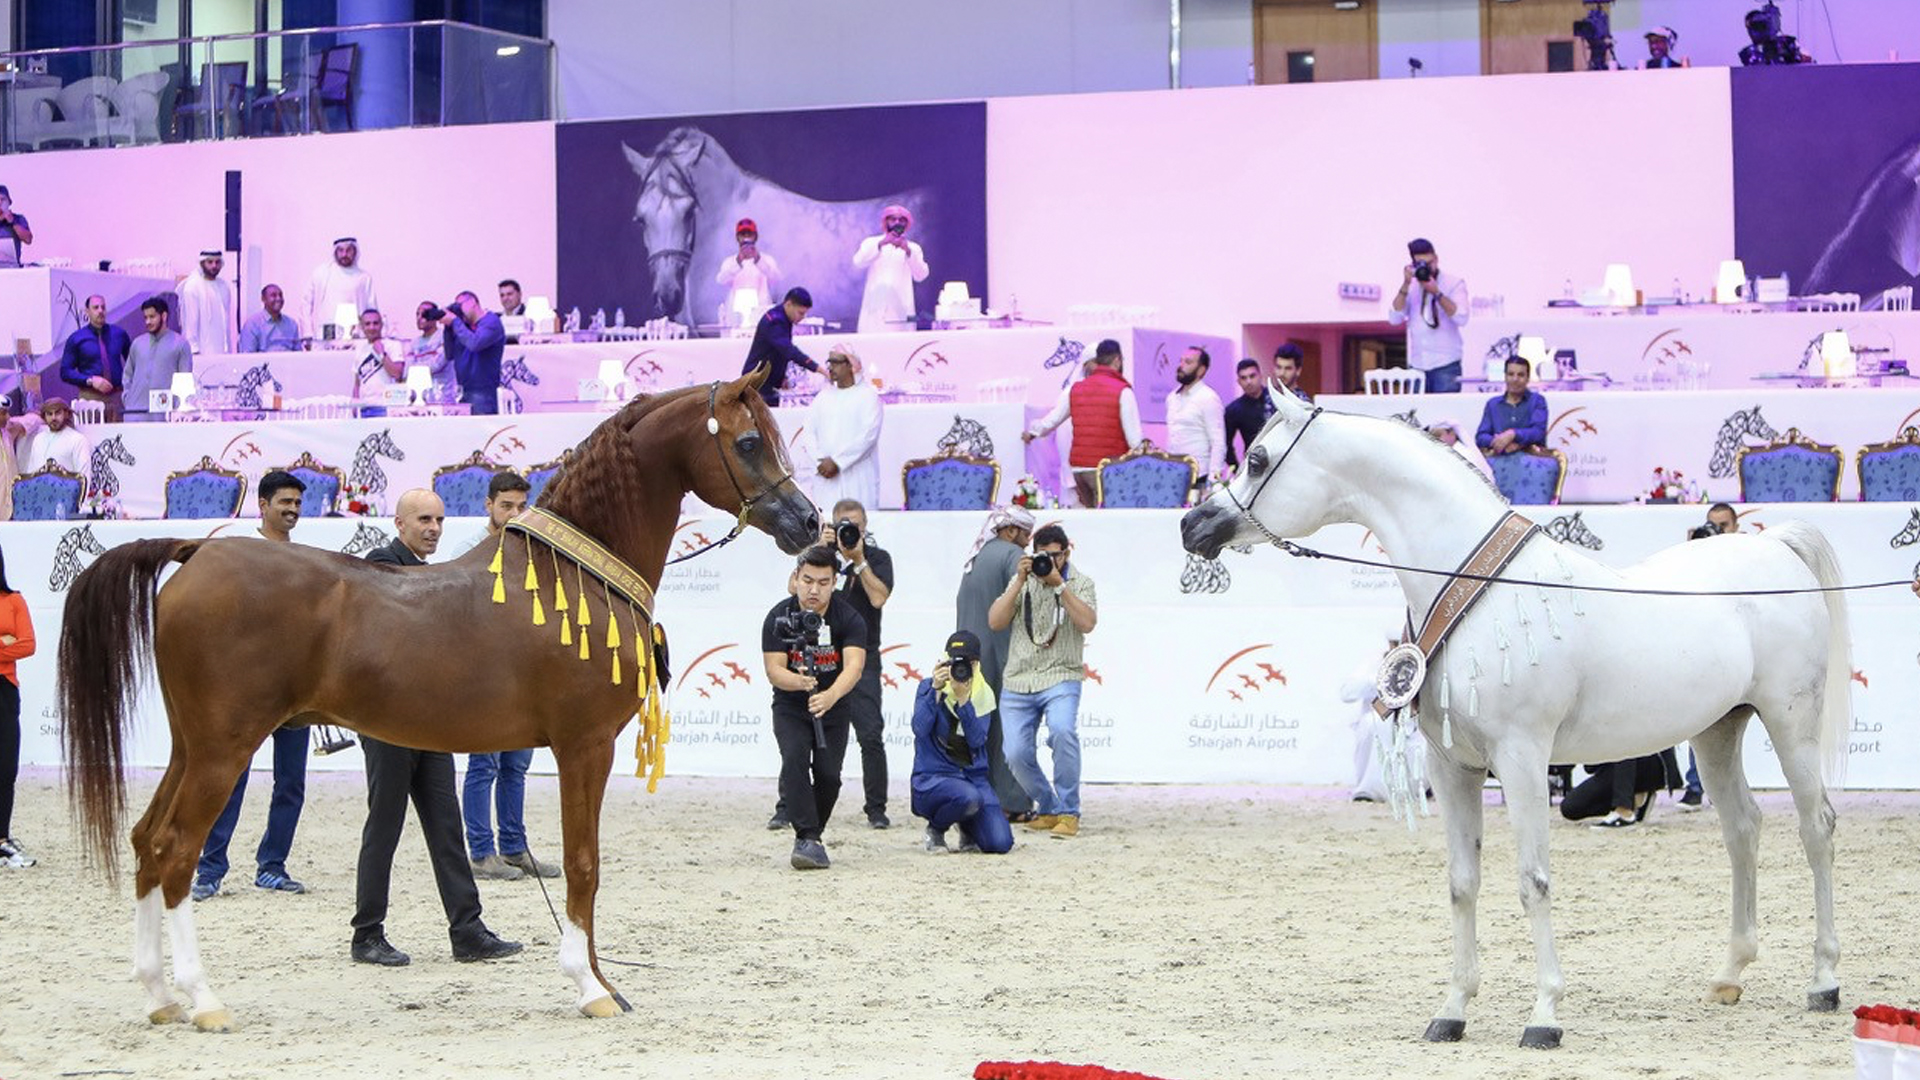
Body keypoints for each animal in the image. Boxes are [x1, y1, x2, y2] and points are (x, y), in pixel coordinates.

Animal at [56, 363, 821, 1022]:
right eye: (749, 442)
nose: (809, 522)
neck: (573, 574)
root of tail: (198, 551)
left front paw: (605, 983)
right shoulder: (584, 747)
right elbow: (584, 865)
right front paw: (590, 987)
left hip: (192, 745)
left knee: (147, 840)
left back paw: (159, 996)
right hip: (224, 748)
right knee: (179, 849)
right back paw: (202, 999)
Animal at [1175, 393, 1850, 1045]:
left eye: (1257, 459)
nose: (1192, 523)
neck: (1476, 586)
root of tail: (1775, 545)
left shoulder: (1523, 759)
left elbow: (1533, 880)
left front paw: (1544, 1014)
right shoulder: (1451, 768)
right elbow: (1461, 882)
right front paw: (1452, 1010)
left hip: (1791, 723)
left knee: (1816, 827)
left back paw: (1824, 981)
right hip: (1717, 730)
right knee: (1743, 830)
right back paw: (1730, 974)